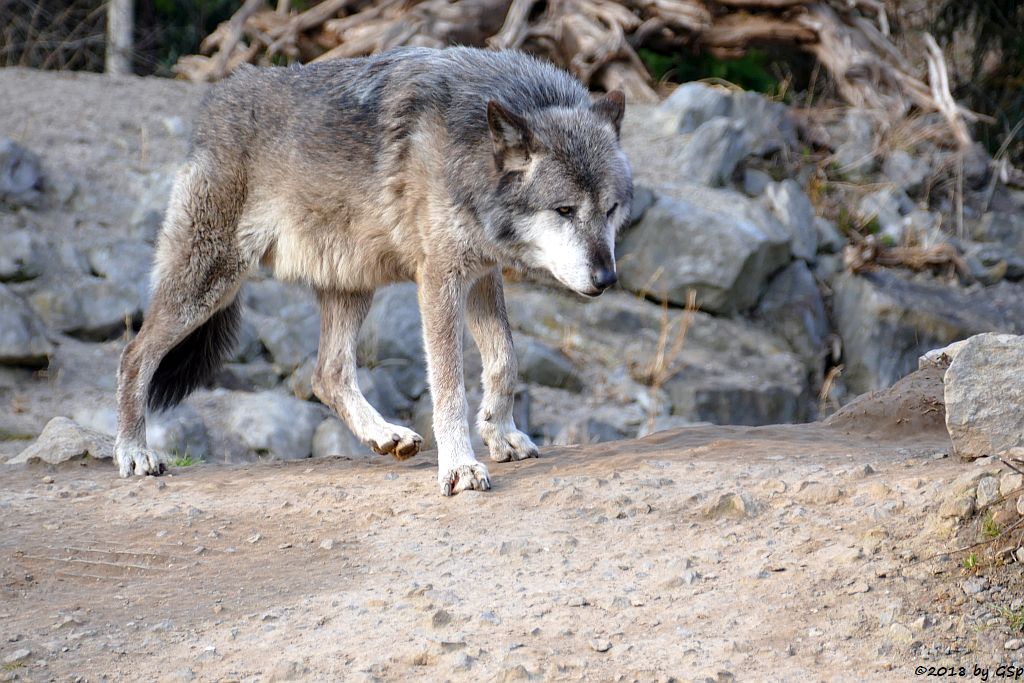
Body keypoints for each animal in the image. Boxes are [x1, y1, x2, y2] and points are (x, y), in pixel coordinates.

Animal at [116, 46, 634, 497]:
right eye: (564, 210)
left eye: (610, 209)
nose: (606, 280)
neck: (469, 151)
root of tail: (216, 100)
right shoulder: (440, 278)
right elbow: (449, 386)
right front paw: (460, 466)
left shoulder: (483, 272)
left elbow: (505, 359)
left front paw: (501, 434)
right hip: (211, 283)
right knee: (134, 354)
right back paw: (134, 452)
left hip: (349, 282)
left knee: (327, 374)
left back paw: (385, 435)